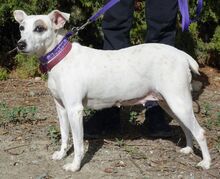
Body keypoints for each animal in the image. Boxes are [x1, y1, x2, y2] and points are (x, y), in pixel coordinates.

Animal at [13, 9, 211, 171]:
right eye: (21, 27)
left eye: (39, 28)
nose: (20, 44)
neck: (60, 58)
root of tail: (181, 54)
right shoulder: (61, 109)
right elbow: (64, 136)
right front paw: (61, 154)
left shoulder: (74, 110)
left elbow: (77, 143)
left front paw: (75, 166)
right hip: (169, 104)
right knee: (187, 128)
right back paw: (187, 149)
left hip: (178, 102)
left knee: (200, 132)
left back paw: (206, 163)